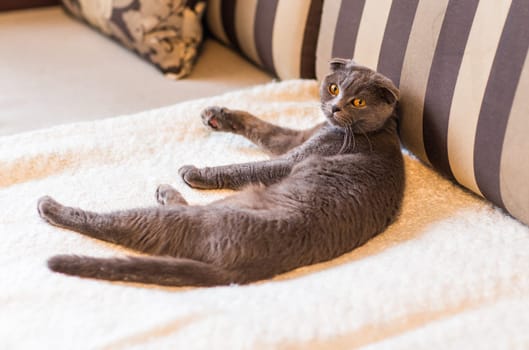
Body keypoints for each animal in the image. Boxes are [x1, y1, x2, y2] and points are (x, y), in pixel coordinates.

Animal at [37, 58, 404, 286]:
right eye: (333, 88)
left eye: (358, 102)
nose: (335, 107)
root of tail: (236, 272)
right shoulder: (293, 139)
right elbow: (261, 126)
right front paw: (217, 115)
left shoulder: (295, 158)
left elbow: (246, 168)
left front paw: (198, 171)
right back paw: (165, 192)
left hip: (197, 219)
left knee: (119, 223)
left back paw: (51, 207)